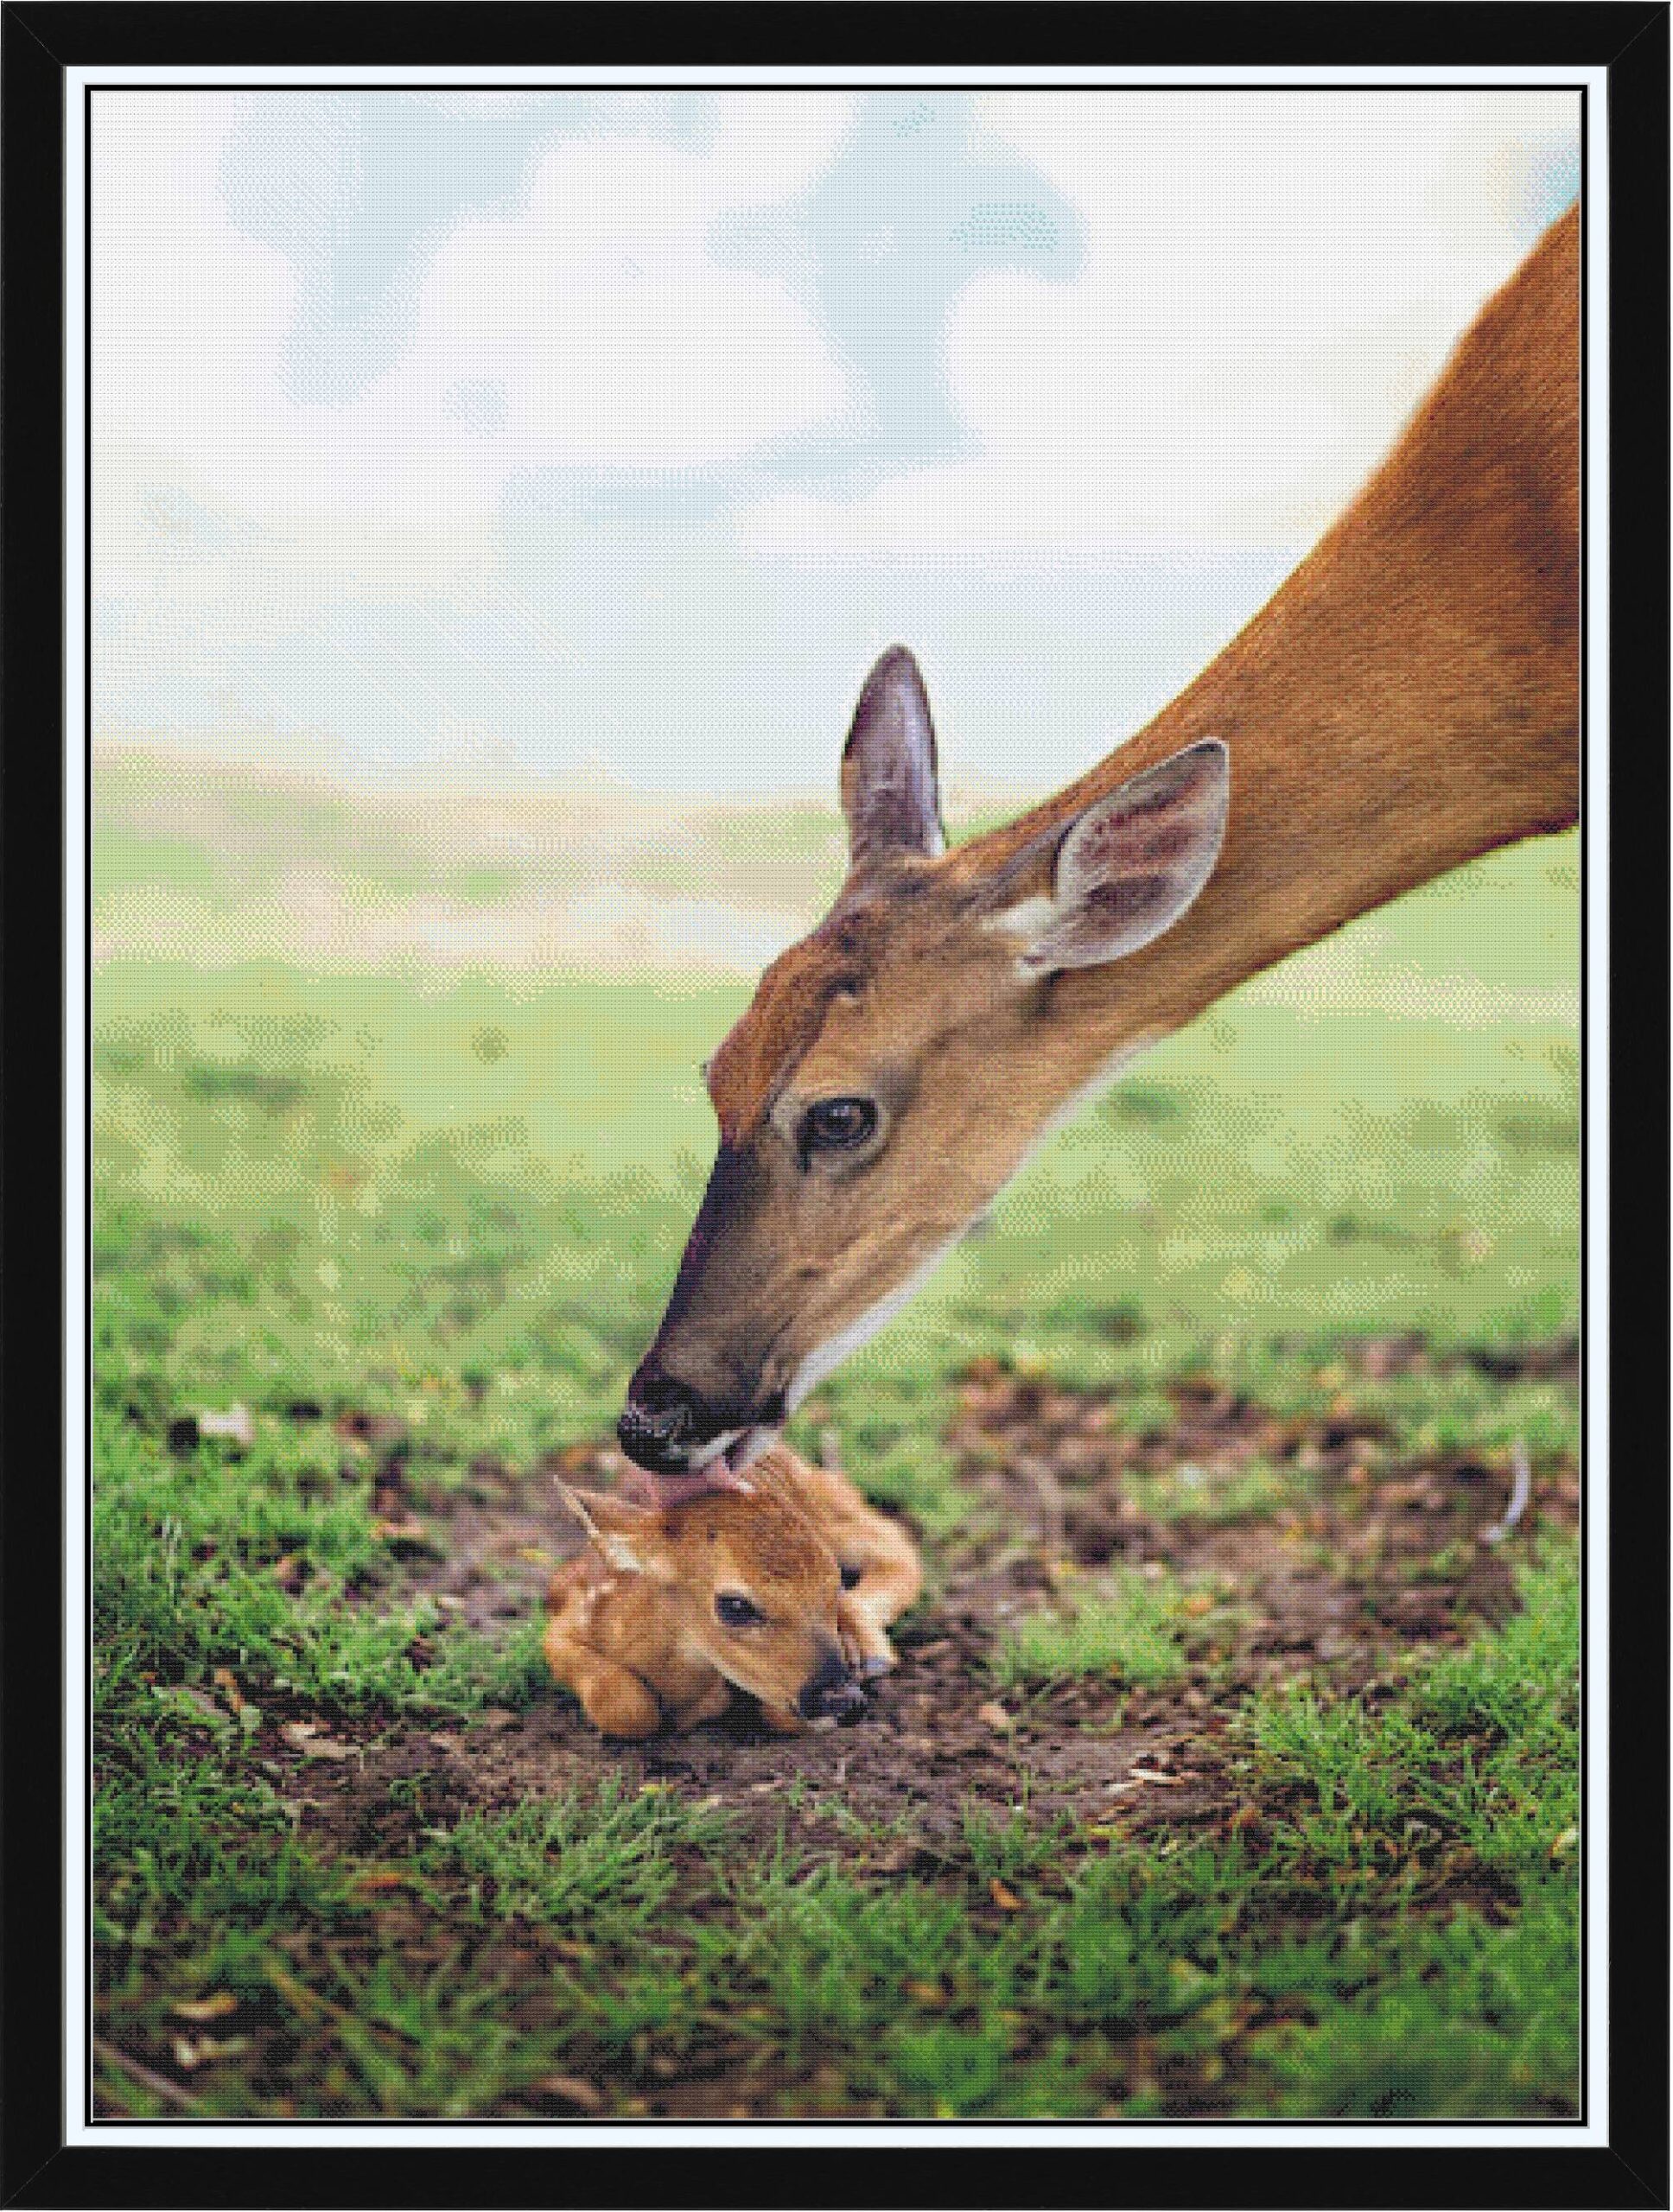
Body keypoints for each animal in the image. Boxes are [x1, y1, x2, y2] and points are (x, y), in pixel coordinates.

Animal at [543, 1442, 922, 1736]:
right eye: (736, 1606)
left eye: (836, 1582)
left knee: (894, 1541)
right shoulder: (562, 1617)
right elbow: (625, 1705)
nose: (846, 1700)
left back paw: (871, 1654)